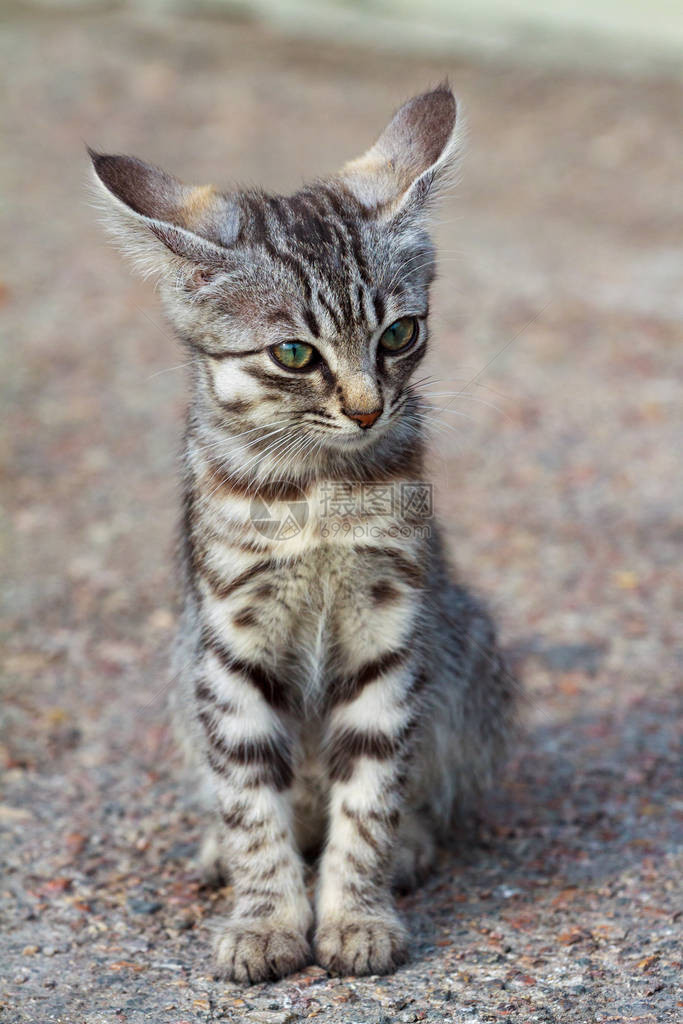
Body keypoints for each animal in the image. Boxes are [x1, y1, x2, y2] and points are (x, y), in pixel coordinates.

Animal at [92, 86, 518, 983]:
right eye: (293, 353)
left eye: (399, 334)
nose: (365, 408)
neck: (317, 493)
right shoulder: (229, 642)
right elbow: (253, 800)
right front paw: (264, 921)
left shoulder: (391, 626)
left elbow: (371, 797)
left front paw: (356, 915)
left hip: (466, 644)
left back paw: (411, 845)